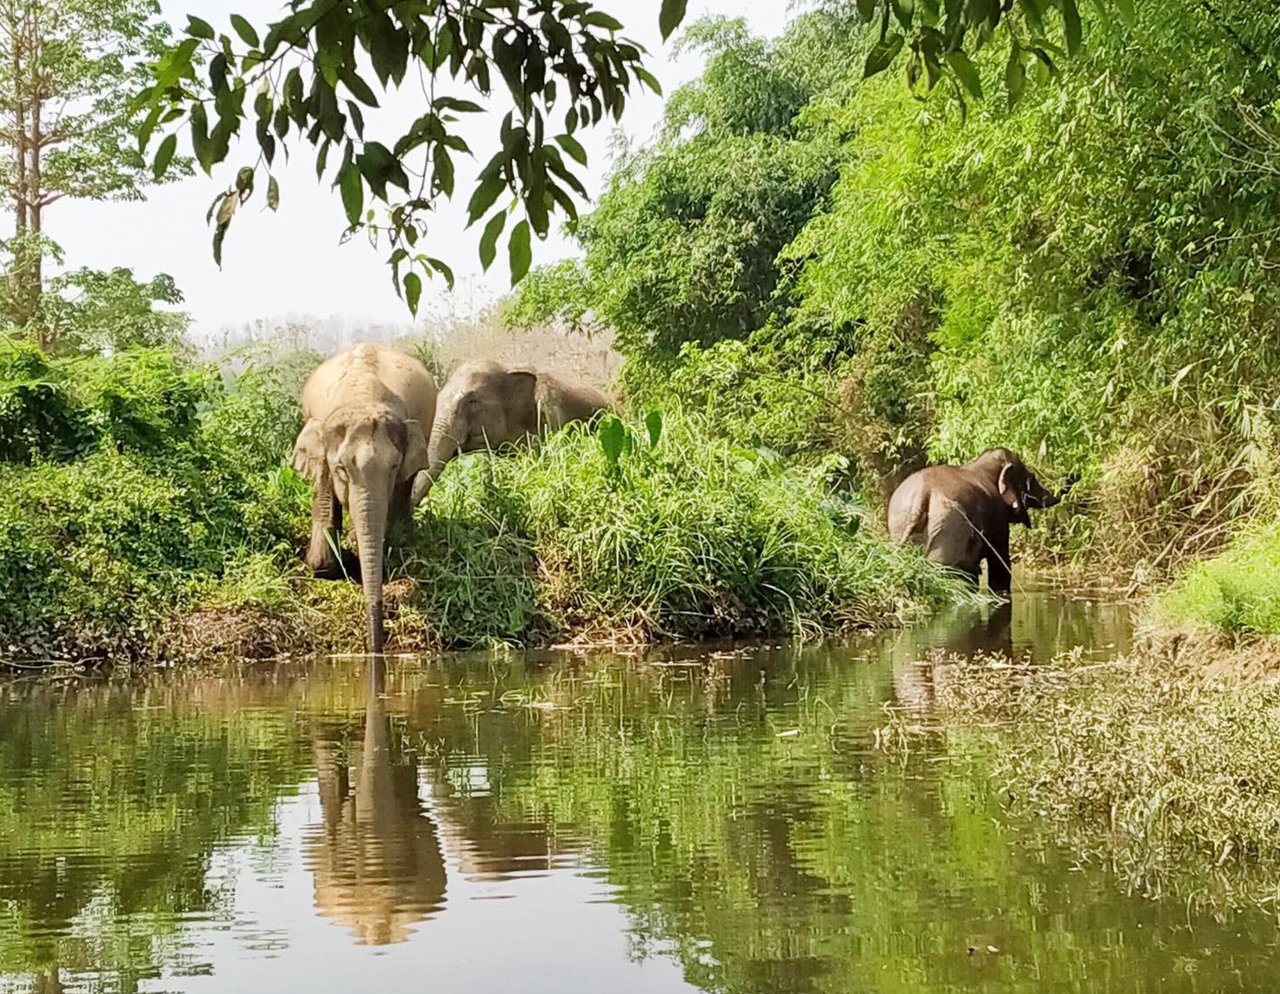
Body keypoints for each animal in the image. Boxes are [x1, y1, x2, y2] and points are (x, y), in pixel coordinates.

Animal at [885, 445, 1075, 593]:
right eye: (1032, 479)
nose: (1075, 475)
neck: (981, 464)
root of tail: (922, 495)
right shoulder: (998, 518)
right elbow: (1000, 561)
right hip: (949, 529)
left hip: (900, 525)